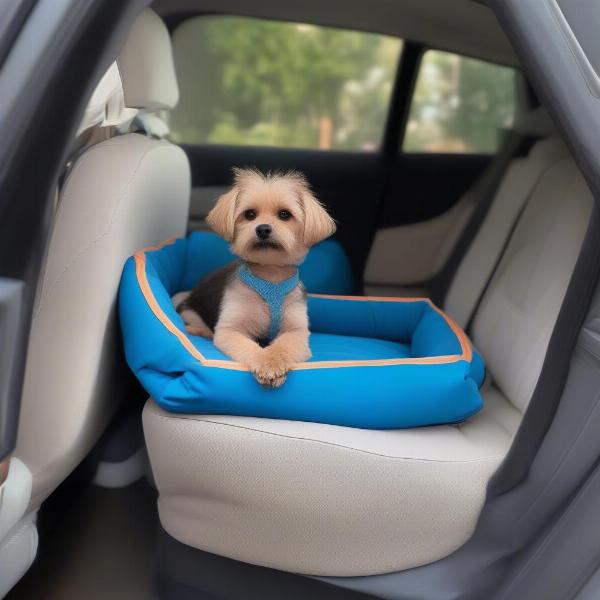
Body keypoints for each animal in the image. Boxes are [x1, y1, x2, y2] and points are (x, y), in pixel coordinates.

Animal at [176, 168, 340, 390]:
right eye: (250, 214)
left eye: (284, 214)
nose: (262, 229)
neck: (269, 276)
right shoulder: (230, 329)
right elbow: (248, 346)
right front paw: (265, 362)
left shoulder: (296, 331)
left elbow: (282, 347)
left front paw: (273, 362)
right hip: (191, 312)